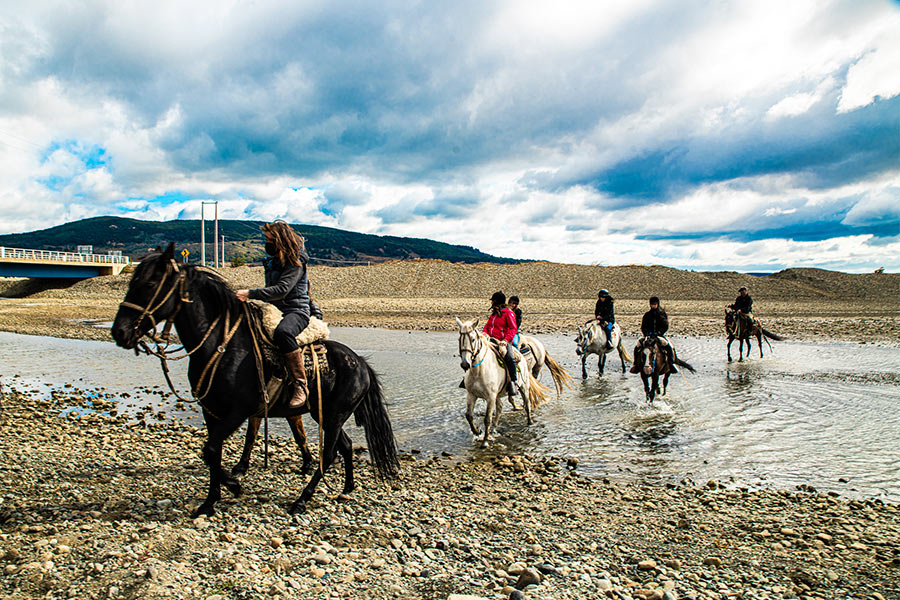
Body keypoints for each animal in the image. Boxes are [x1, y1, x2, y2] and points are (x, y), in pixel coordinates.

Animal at [110, 244, 400, 516]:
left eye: (149, 284)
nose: (119, 332)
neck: (223, 346)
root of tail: (360, 363)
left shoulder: (239, 411)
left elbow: (212, 449)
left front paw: (229, 488)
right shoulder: (211, 411)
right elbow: (212, 452)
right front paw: (213, 499)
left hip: (334, 415)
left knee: (328, 454)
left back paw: (301, 500)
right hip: (323, 414)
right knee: (346, 445)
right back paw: (347, 488)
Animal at [458, 316, 548, 448]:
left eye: (473, 339)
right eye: (459, 339)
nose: (465, 364)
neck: (479, 371)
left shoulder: (490, 397)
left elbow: (487, 418)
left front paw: (485, 442)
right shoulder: (471, 394)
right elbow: (469, 416)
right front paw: (477, 431)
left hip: (524, 386)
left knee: (527, 403)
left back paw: (530, 422)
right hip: (499, 394)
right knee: (500, 409)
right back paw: (493, 430)